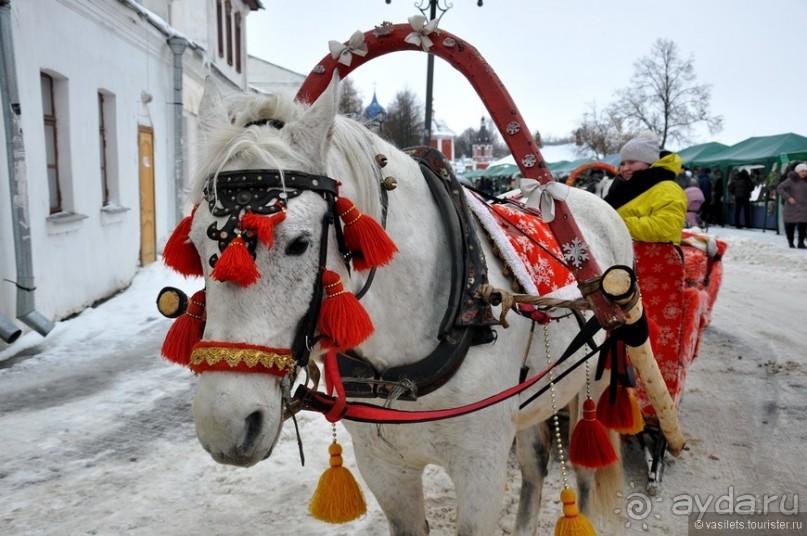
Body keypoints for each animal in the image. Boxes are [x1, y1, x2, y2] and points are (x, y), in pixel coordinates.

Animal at [185, 77, 636, 532]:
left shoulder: (481, 467)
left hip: (595, 377)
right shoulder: (384, 466)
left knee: (584, 465)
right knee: (535, 462)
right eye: (194, 243)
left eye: (300, 243)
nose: (224, 425)